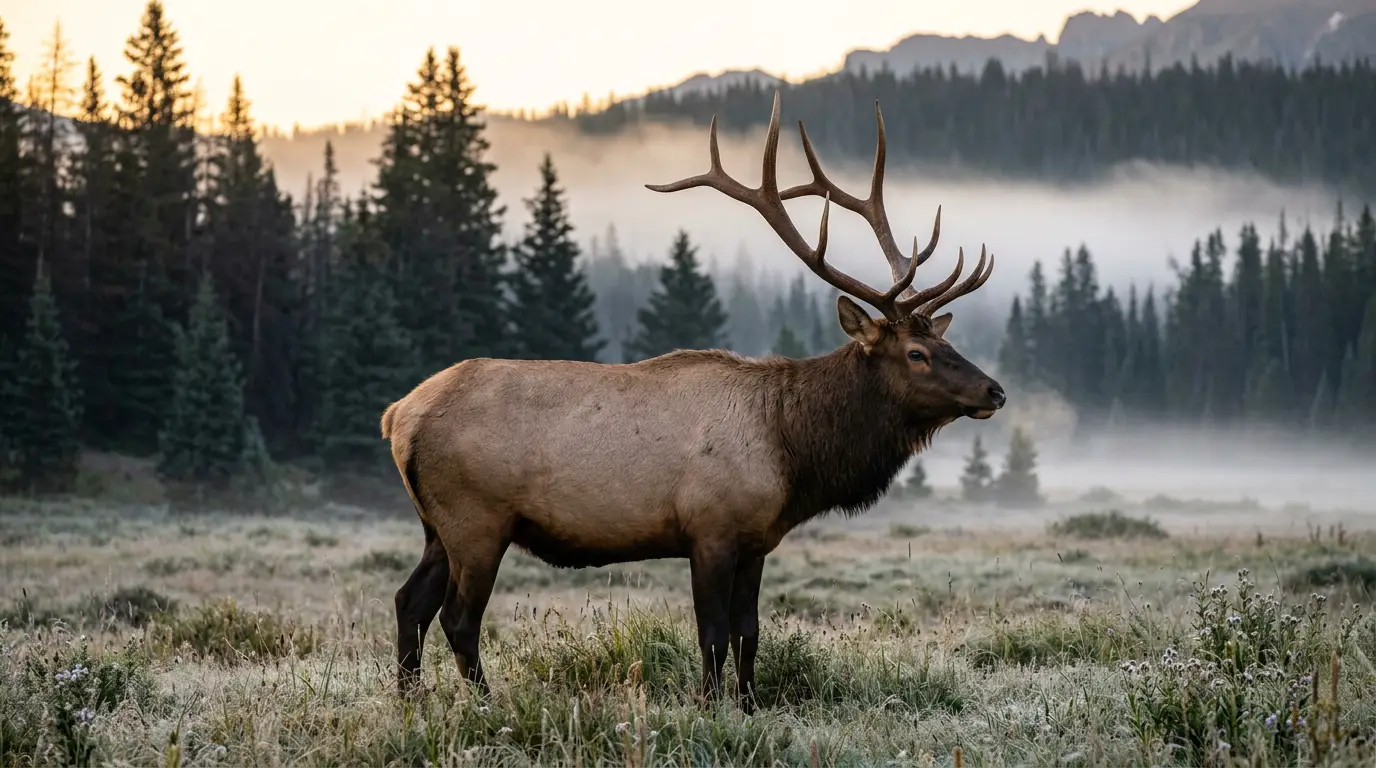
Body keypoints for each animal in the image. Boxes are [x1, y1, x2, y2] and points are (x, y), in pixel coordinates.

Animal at [380, 90, 1005, 714]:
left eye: (946, 342)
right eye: (917, 353)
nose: (994, 390)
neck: (793, 449)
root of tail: (398, 415)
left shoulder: (756, 541)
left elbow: (749, 632)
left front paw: (749, 705)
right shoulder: (709, 530)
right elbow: (711, 634)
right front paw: (709, 705)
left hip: (437, 526)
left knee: (409, 601)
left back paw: (410, 702)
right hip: (477, 518)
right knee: (458, 618)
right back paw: (487, 705)